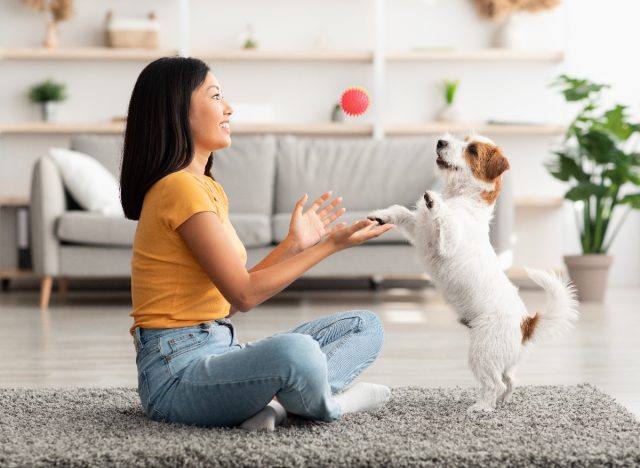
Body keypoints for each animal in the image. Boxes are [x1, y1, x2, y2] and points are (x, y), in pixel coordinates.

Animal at [364, 133, 580, 412]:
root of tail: (526, 324)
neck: (460, 198)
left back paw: (482, 407)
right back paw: (503, 400)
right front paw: (381, 216)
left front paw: (435, 201)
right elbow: (401, 211)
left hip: (482, 353)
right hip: (500, 359)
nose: (441, 141)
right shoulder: (419, 230)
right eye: (462, 139)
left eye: (473, 150)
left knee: (495, 383)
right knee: (510, 380)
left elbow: (445, 219)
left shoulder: (448, 242)